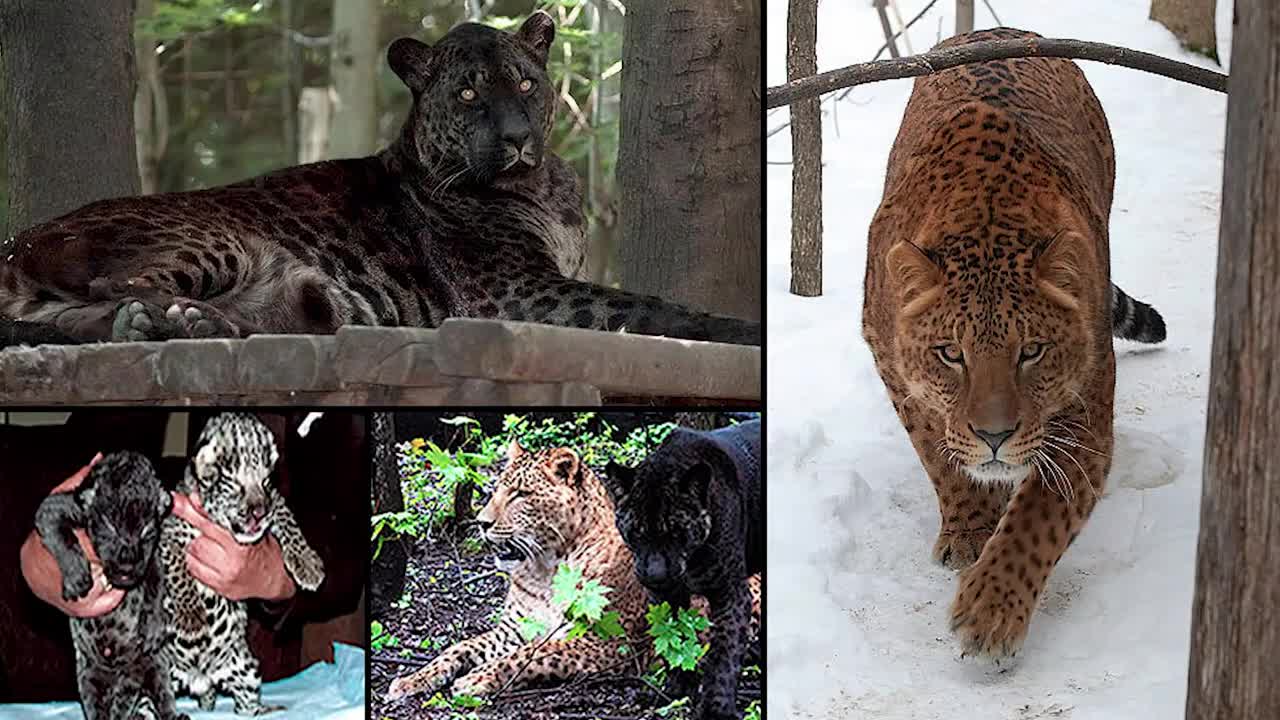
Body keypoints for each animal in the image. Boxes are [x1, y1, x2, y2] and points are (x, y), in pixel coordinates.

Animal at [35, 450, 186, 717]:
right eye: (111, 527)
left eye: (146, 531)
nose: (126, 568)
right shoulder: (54, 507)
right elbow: (62, 536)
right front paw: (76, 576)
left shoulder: (150, 557)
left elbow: (156, 585)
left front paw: (153, 625)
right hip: (89, 678)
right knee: (99, 709)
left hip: (152, 668)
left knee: (160, 699)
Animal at [381, 440, 757, 696]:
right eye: (496, 490)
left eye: (520, 494)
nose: (482, 523)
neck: (546, 569)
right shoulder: (513, 629)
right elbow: (458, 647)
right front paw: (411, 680)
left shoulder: (606, 642)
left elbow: (535, 653)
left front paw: (477, 678)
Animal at [601, 417, 757, 717]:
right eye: (636, 533)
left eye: (677, 532)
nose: (656, 574)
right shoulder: (665, 596)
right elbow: (674, 637)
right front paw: (676, 692)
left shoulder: (730, 592)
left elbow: (724, 651)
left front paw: (716, 709)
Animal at [860, 26, 1172, 655]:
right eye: (950, 355)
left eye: (1032, 352)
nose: (995, 436)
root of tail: (1003, 31)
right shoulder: (890, 360)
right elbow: (939, 452)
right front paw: (972, 530)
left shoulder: (1085, 408)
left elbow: (1040, 515)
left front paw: (991, 609)